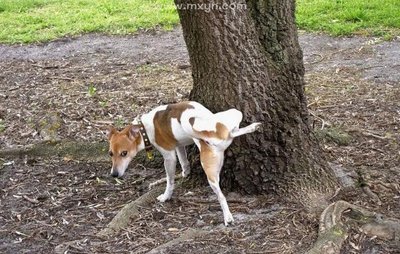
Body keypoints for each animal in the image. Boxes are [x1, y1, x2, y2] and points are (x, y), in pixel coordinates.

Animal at [108, 100, 260, 224]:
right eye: (110, 154)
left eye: (124, 153)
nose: (114, 174)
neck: (144, 128)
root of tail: (211, 136)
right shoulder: (179, 145)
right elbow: (184, 161)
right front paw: (185, 172)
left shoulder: (169, 156)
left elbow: (170, 181)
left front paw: (166, 196)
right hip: (233, 114)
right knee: (233, 132)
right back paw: (252, 127)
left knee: (221, 197)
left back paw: (227, 218)